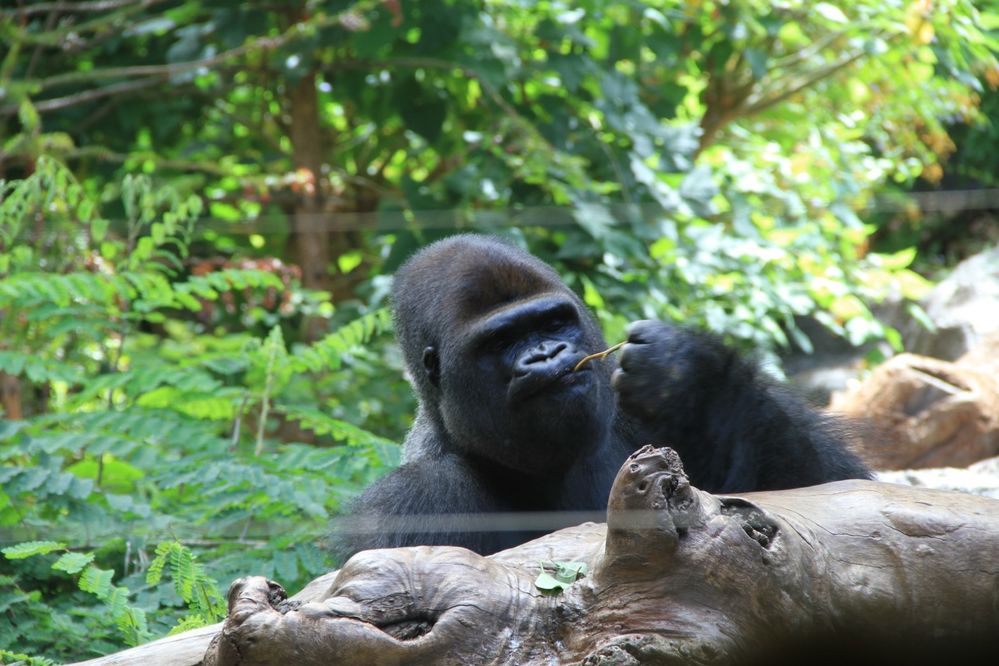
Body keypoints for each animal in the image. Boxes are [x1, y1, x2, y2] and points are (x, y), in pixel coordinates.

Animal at [336, 233, 868, 556]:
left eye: (553, 322)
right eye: (503, 342)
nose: (548, 354)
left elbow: (830, 495)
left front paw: (690, 376)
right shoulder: (410, 504)